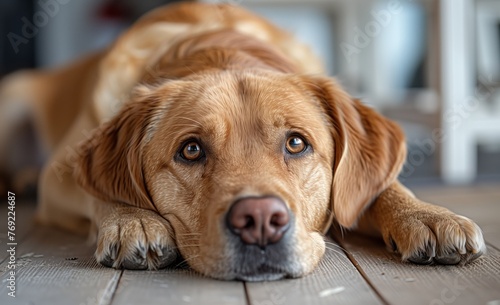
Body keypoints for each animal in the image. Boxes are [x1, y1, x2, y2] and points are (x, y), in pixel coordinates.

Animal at [0, 3, 484, 282]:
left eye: (296, 144)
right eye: (191, 150)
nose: (260, 220)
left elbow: (380, 188)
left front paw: (427, 215)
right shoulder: (61, 170)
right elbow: (97, 191)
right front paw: (131, 219)